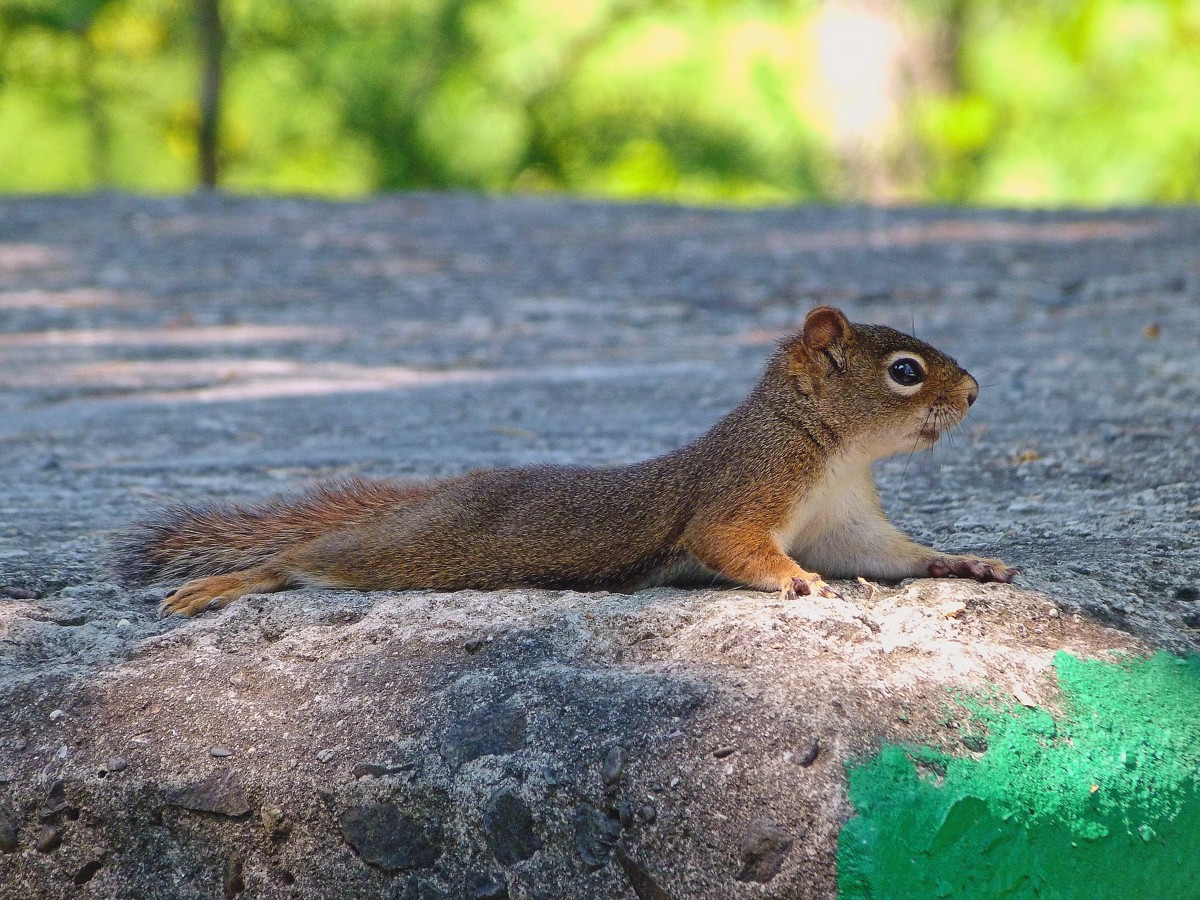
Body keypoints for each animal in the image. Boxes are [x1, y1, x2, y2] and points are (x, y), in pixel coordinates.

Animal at [113, 306, 1018, 617]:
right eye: (905, 371)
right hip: (410, 549)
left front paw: (963, 561)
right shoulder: (745, 488)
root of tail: (432, 497)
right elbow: (729, 542)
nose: (977, 391)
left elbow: (894, 554)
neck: (831, 453)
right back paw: (223, 584)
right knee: (304, 558)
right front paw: (796, 582)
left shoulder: (846, 522)